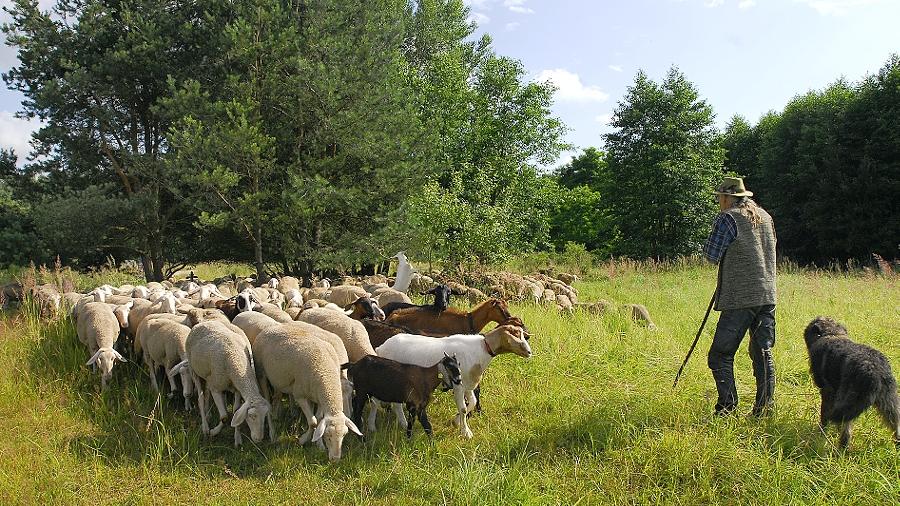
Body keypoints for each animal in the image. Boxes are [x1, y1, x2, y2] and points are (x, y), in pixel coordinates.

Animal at [251, 322, 360, 460]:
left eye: (344, 435)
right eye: (328, 435)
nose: (335, 459)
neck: (326, 374)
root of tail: (268, 329)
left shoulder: (319, 398)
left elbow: (319, 420)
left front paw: (319, 445)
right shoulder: (300, 395)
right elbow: (313, 422)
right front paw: (303, 440)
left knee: (276, 397)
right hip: (261, 374)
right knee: (267, 402)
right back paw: (272, 433)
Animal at [374, 324, 532, 438]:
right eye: (516, 334)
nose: (529, 352)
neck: (481, 349)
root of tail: (380, 348)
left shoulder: (467, 384)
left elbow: (472, 402)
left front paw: (456, 422)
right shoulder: (458, 385)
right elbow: (463, 408)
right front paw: (466, 432)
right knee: (395, 404)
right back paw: (402, 423)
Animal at [804, 316, 896, 450]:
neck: (832, 333)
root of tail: (874, 371)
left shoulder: (828, 393)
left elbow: (824, 415)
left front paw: (822, 432)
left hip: (848, 400)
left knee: (846, 432)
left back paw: (842, 449)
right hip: (889, 403)